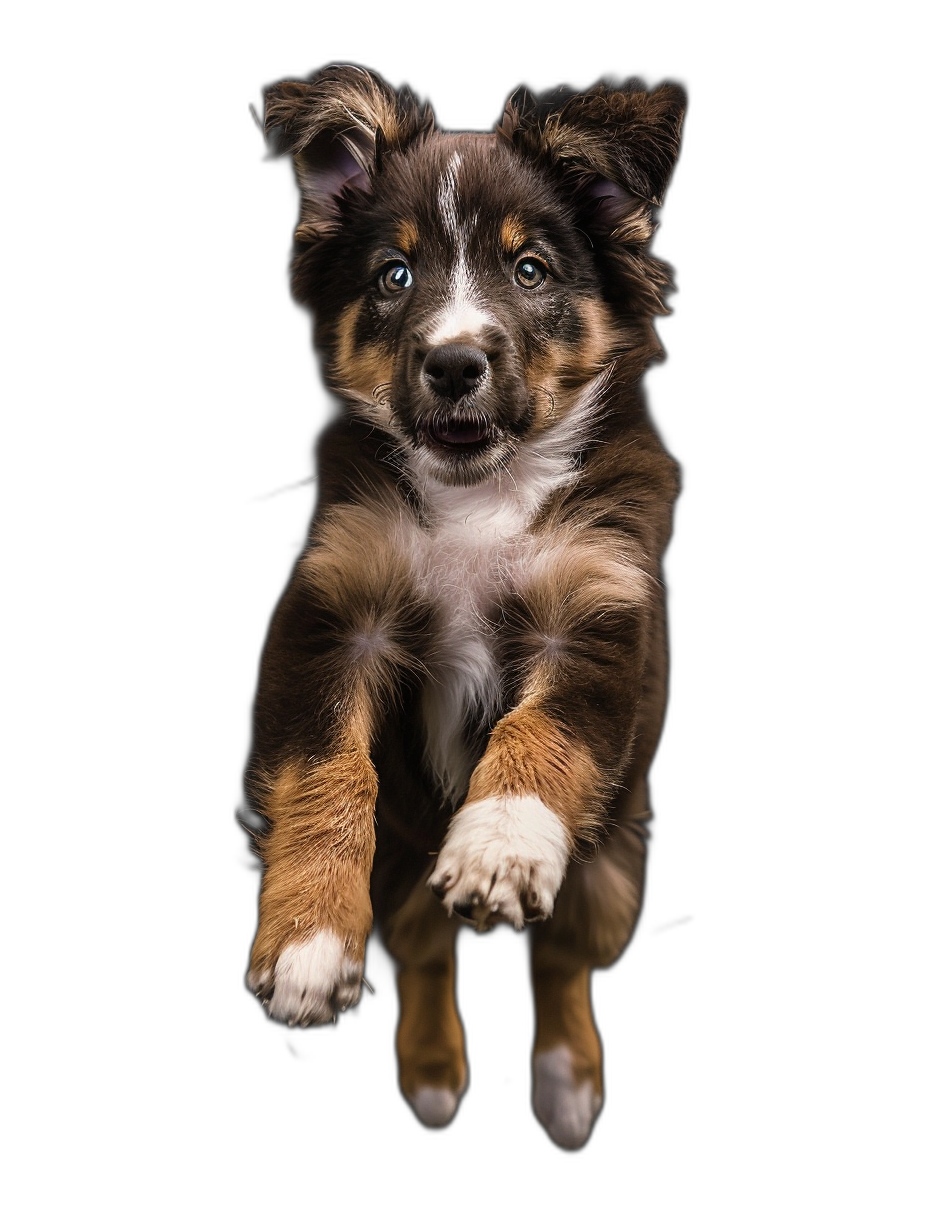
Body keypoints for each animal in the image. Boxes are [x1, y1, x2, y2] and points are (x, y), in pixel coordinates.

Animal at [242, 62, 685, 1148]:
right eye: (393, 277)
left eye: (529, 270)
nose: (451, 366)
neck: (478, 497)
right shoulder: (333, 615)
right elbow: (326, 766)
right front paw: (309, 943)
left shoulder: (599, 609)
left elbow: (541, 730)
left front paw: (499, 843)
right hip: (405, 864)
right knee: (425, 951)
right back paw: (435, 1073)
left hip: (612, 866)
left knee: (562, 960)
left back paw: (566, 1084)